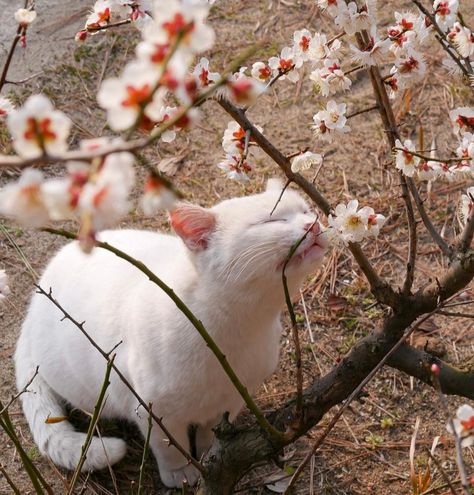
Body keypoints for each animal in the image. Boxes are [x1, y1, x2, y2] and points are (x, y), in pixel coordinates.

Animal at [13, 178, 326, 488]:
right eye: (271, 220)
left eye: (305, 209)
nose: (313, 224)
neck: (237, 330)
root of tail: (33, 303)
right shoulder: (152, 410)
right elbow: (169, 446)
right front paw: (181, 473)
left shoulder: (231, 401)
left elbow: (210, 435)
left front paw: (208, 456)